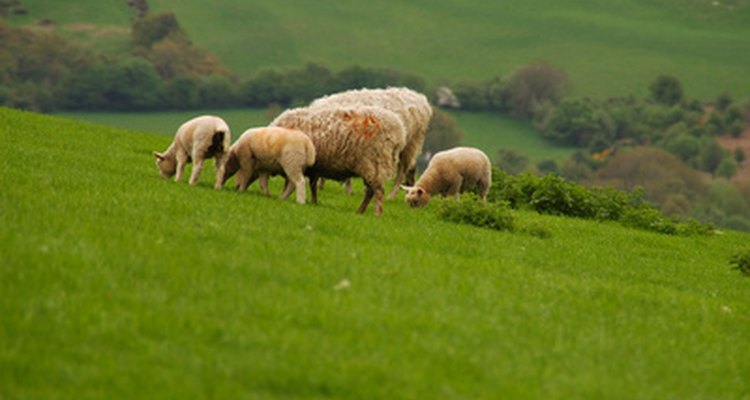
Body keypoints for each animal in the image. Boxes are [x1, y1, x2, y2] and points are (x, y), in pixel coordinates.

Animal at [272, 104, 406, 214]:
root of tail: (399, 129)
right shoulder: (314, 167)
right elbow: (312, 185)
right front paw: (314, 202)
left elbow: (291, 182)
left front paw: (284, 196)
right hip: (374, 166)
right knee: (371, 191)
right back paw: (360, 211)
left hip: (374, 162)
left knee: (378, 190)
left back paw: (376, 213)